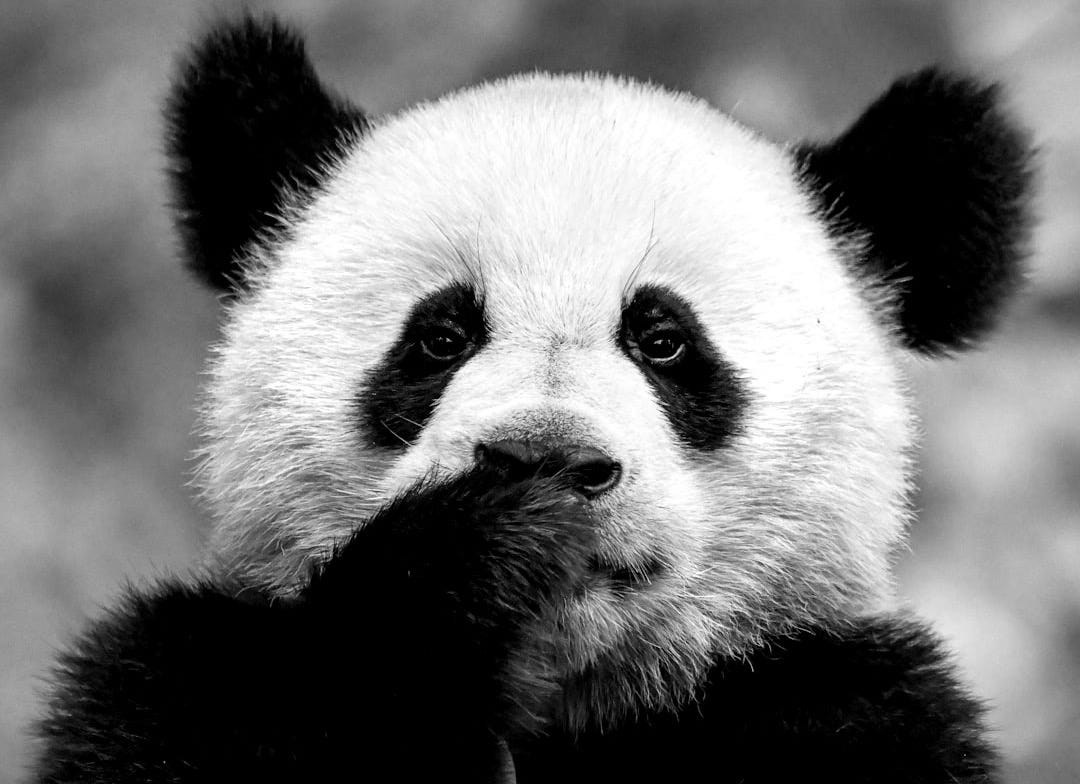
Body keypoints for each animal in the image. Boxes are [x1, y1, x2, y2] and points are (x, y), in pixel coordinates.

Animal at [32, 14, 1033, 784]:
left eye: (664, 340)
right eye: (441, 336)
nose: (545, 459)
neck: (557, 700)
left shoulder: (845, 707)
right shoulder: (186, 677)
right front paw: (465, 568)